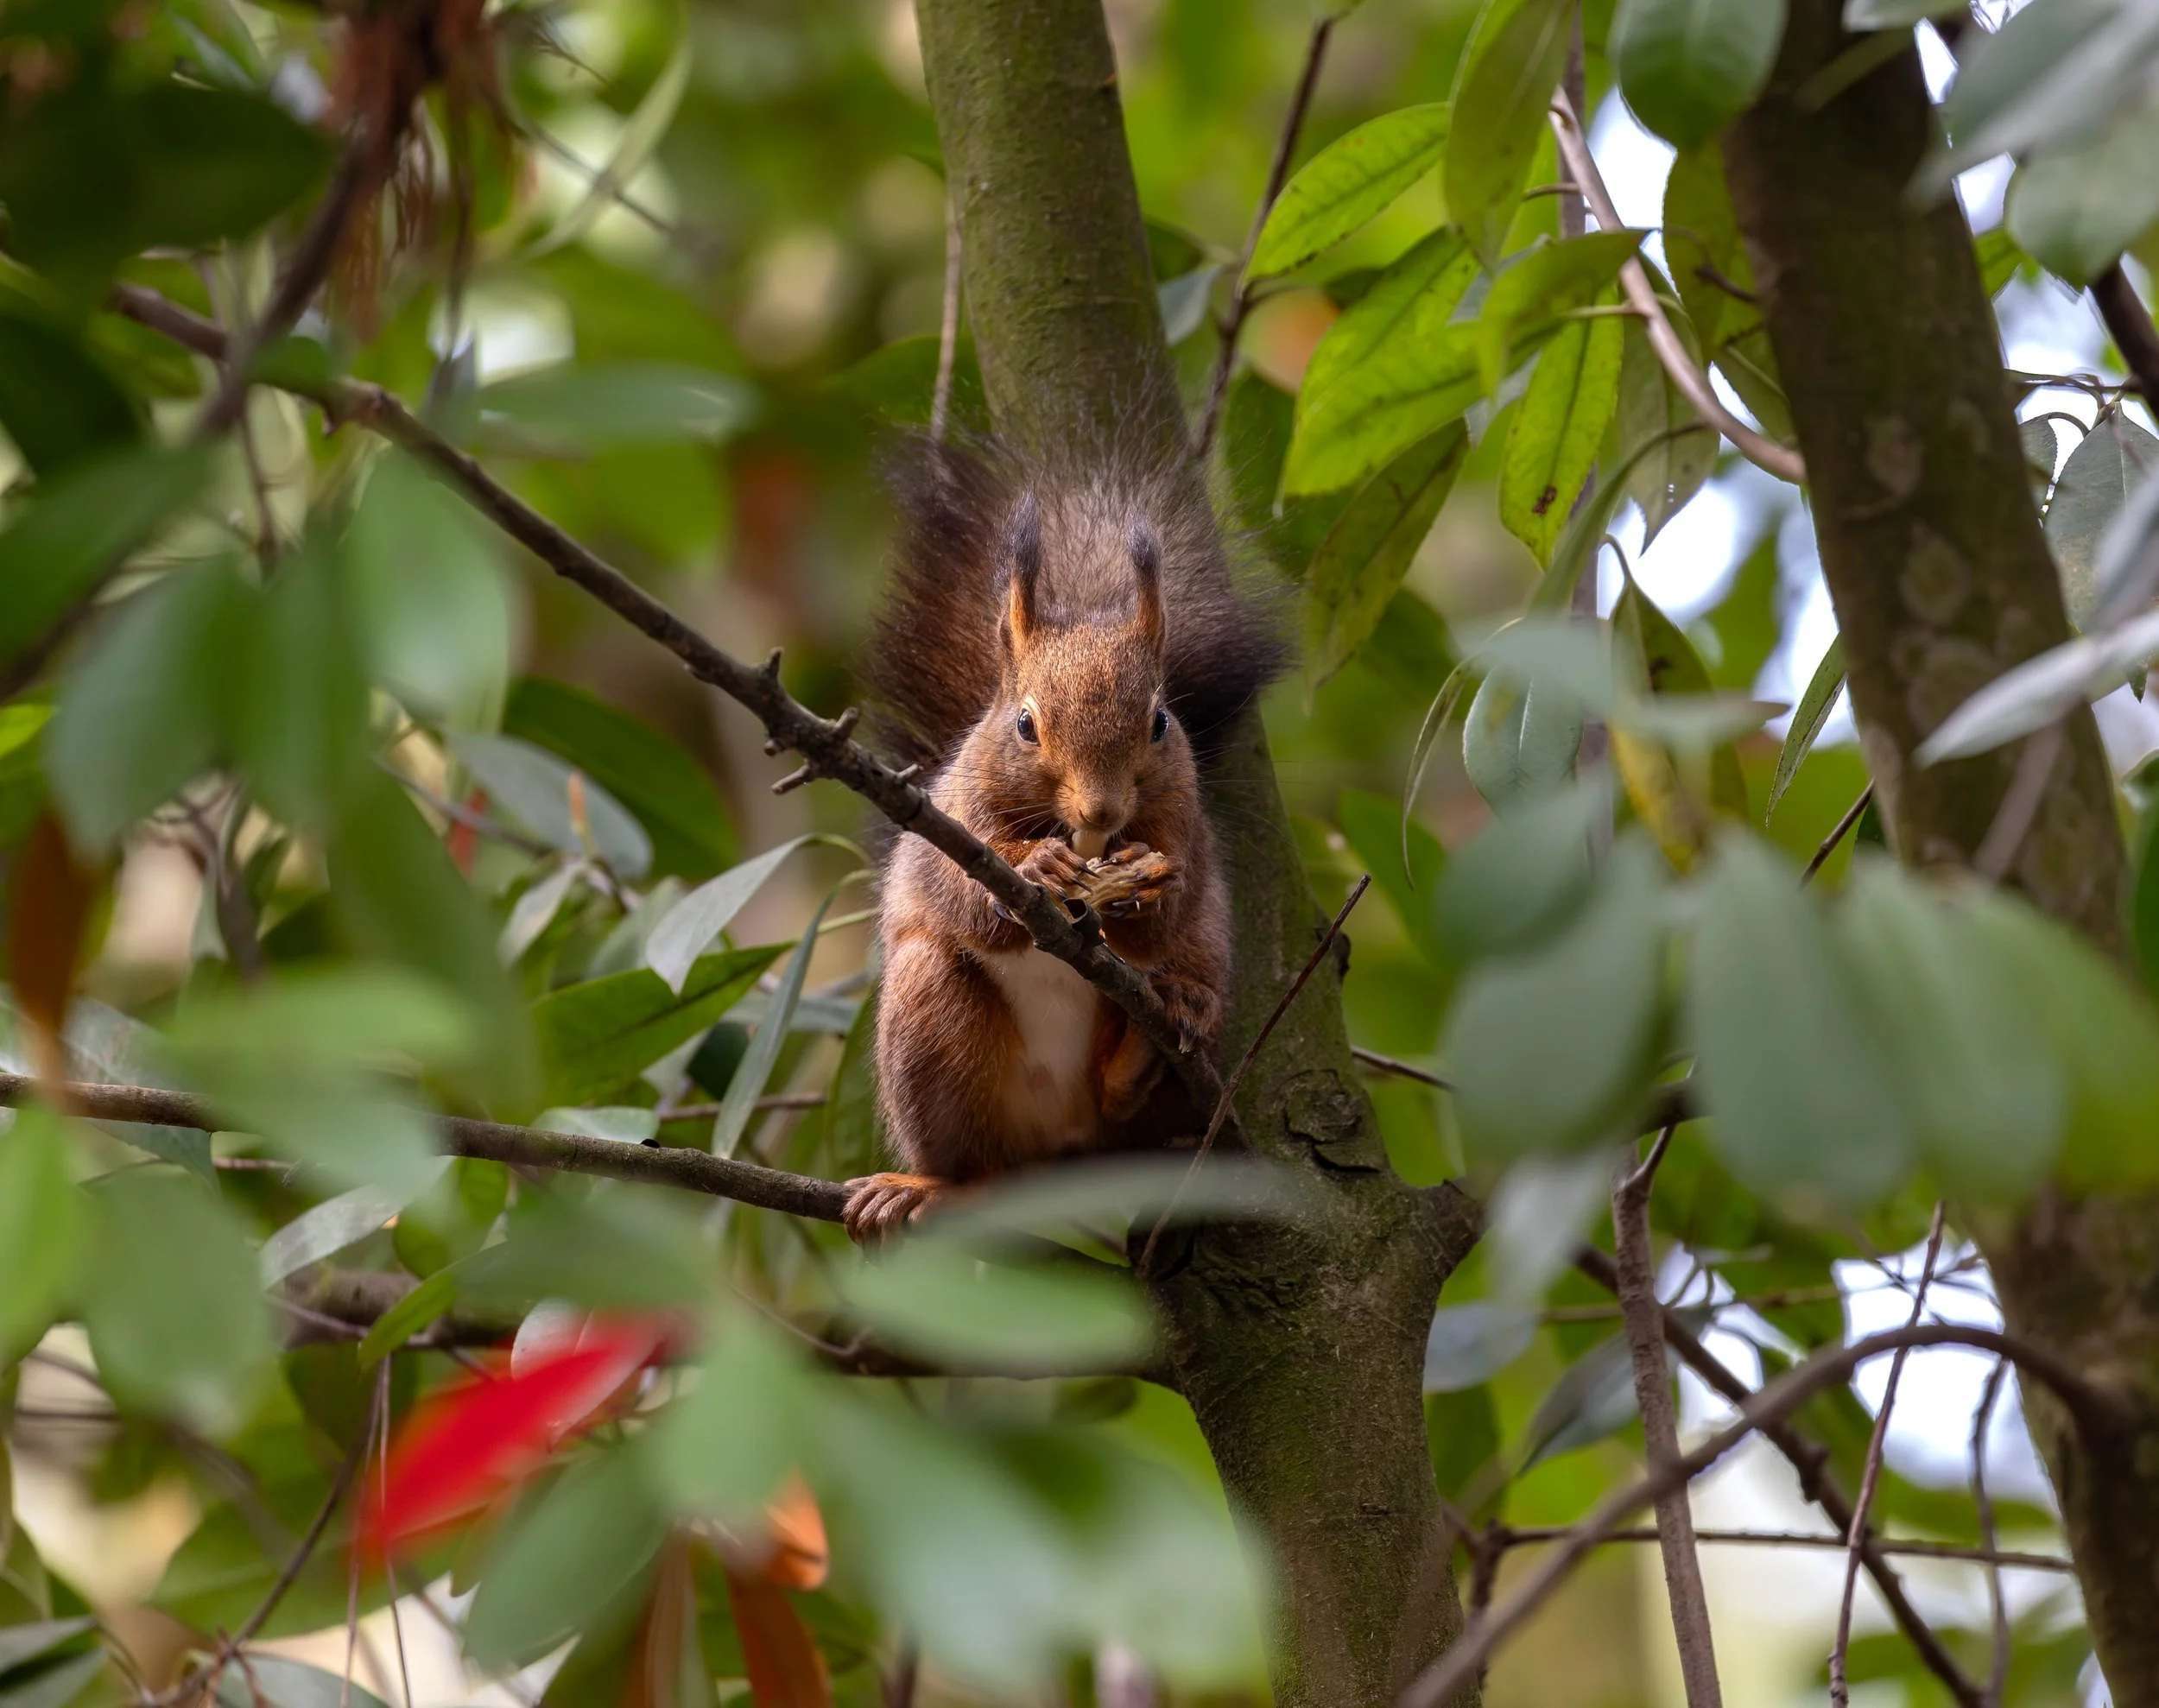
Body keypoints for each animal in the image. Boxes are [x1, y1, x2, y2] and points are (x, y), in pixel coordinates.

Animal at [841, 441, 1285, 1242]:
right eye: (1024, 724)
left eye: (1160, 722)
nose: (1100, 810)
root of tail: (1066, 1159)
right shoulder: (949, 825)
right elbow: (965, 895)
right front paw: (1037, 866)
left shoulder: (1182, 819)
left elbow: (1163, 920)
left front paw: (1151, 888)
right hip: (932, 1024)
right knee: (974, 1160)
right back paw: (925, 1190)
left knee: (1132, 1080)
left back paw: (1149, 1046)